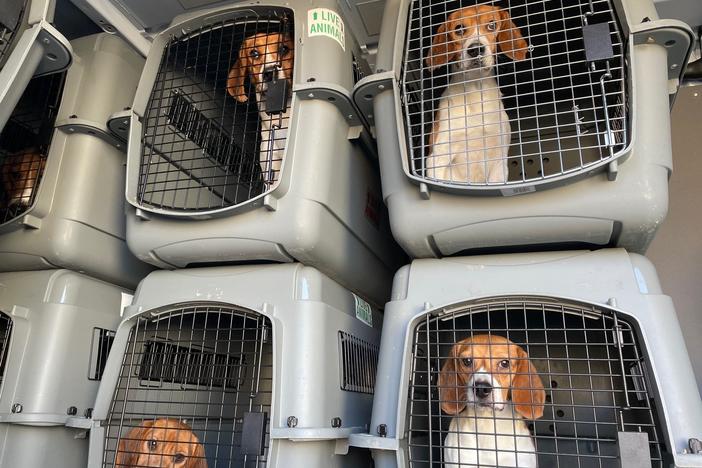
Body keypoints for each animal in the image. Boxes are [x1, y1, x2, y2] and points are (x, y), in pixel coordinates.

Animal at [424, 5, 528, 185]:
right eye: (459, 29)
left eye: (492, 25)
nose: (475, 49)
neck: (474, 90)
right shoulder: (437, 158)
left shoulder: (498, 161)